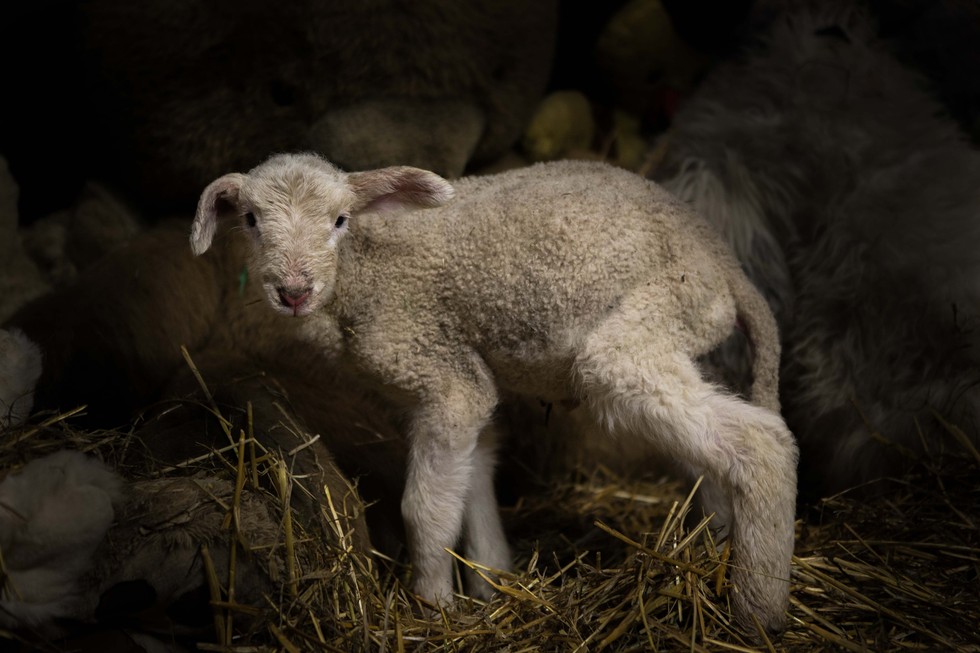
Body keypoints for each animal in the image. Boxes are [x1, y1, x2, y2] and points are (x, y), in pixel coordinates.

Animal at [189, 153, 796, 632]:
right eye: (251, 219)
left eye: (339, 220)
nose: (294, 291)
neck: (364, 269)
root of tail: (723, 261)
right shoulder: (456, 375)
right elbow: (474, 478)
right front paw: (491, 580)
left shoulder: (439, 372)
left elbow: (425, 508)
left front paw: (432, 606)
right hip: (676, 335)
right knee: (716, 460)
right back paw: (717, 551)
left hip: (639, 332)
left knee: (762, 443)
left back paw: (757, 610)